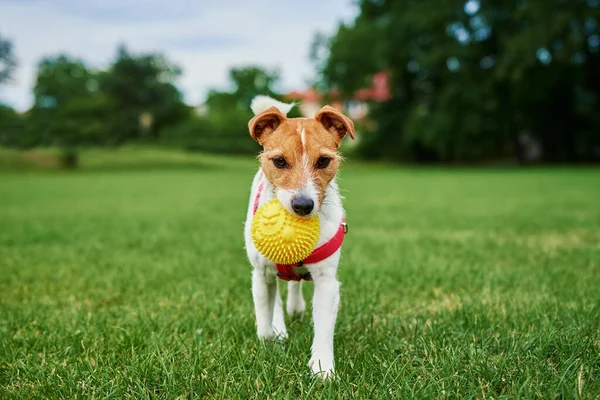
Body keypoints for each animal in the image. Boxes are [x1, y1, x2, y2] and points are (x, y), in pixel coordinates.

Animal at [245, 95, 356, 376]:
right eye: (279, 161)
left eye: (324, 161)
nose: (303, 205)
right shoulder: (260, 275)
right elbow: (264, 318)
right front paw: (270, 343)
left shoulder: (327, 281)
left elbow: (324, 328)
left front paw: (323, 369)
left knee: (294, 285)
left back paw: (296, 307)